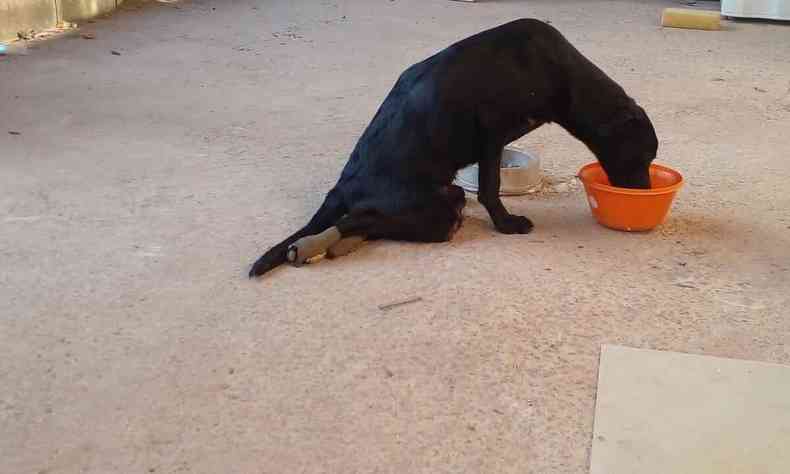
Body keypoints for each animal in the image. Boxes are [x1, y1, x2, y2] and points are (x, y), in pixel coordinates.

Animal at [251, 19, 660, 278]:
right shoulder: (493, 135)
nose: (643, 192)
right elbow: (492, 187)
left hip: (445, 199)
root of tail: (343, 186)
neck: (557, 70)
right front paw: (507, 224)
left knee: (362, 221)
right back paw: (316, 244)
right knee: (355, 218)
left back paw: (330, 246)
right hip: (441, 206)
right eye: (642, 156)